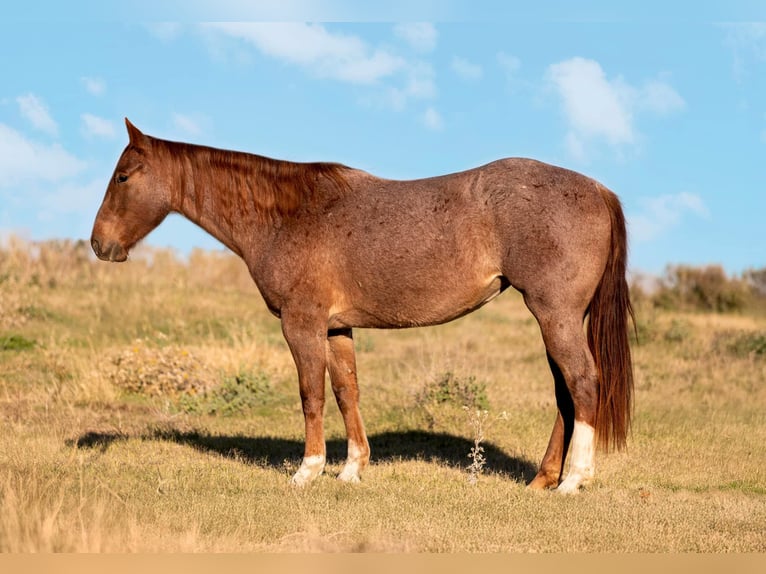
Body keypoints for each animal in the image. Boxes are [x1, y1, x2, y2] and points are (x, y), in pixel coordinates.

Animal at [91, 119, 634, 493]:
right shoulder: (336, 329)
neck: (288, 215)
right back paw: (542, 479)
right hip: (558, 319)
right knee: (565, 394)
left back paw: (572, 481)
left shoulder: (302, 324)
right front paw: (352, 470)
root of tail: (597, 189)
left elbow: (311, 395)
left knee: (583, 384)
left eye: (122, 177)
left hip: (555, 315)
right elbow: (346, 392)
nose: (99, 245)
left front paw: (307, 472)